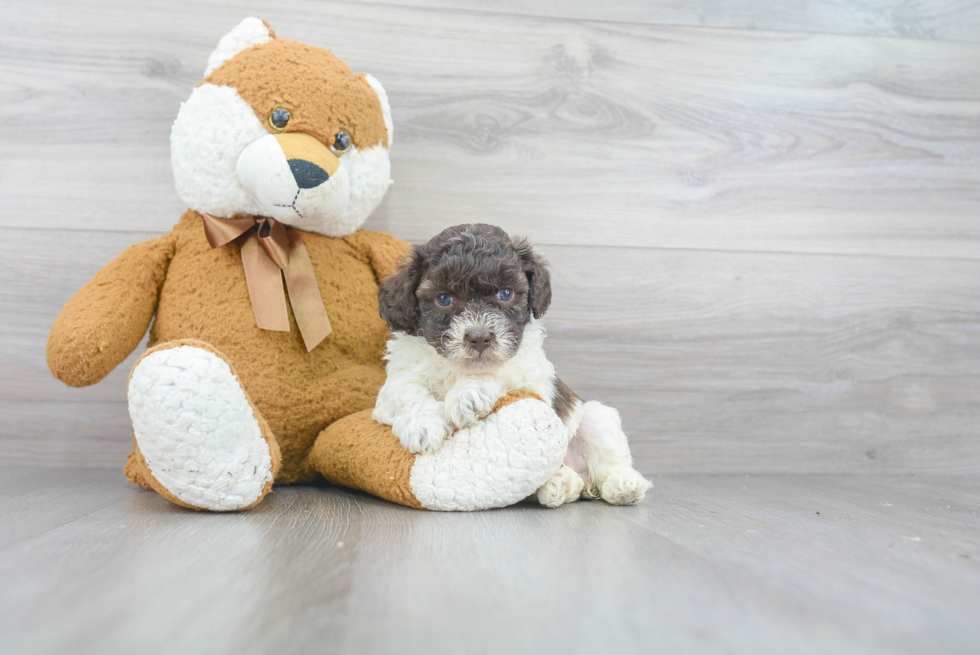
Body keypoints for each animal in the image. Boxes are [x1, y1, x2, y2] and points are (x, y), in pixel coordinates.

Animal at [372, 224, 648, 508]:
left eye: (506, 293)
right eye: (444, 298)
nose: (479, 337)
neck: (460, 367)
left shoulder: (534, 375)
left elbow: (504, 370)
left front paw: (468, 394)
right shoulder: (396, 379)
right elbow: (406, 390)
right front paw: (422, 425)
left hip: (595, 418)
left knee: (609, 460)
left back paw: (623, 485)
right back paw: (560, 483)